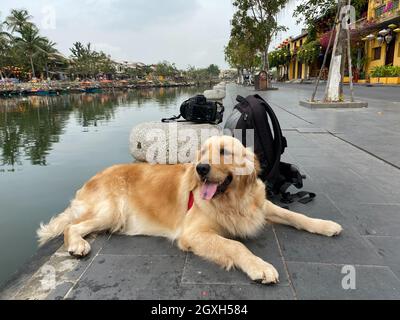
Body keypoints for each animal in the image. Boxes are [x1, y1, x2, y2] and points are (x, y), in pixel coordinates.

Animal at [37, 135, 342, 282]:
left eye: (223, 152)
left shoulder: (260, 206)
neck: (231, 199)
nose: (201, 168)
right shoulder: (193, 233)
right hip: (111, 212)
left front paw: (325, 225)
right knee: (70, 226)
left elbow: (295, 214)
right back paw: (77, 245)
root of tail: (91, 178)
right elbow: (236, 246)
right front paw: (260, 266)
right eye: (202, 153)